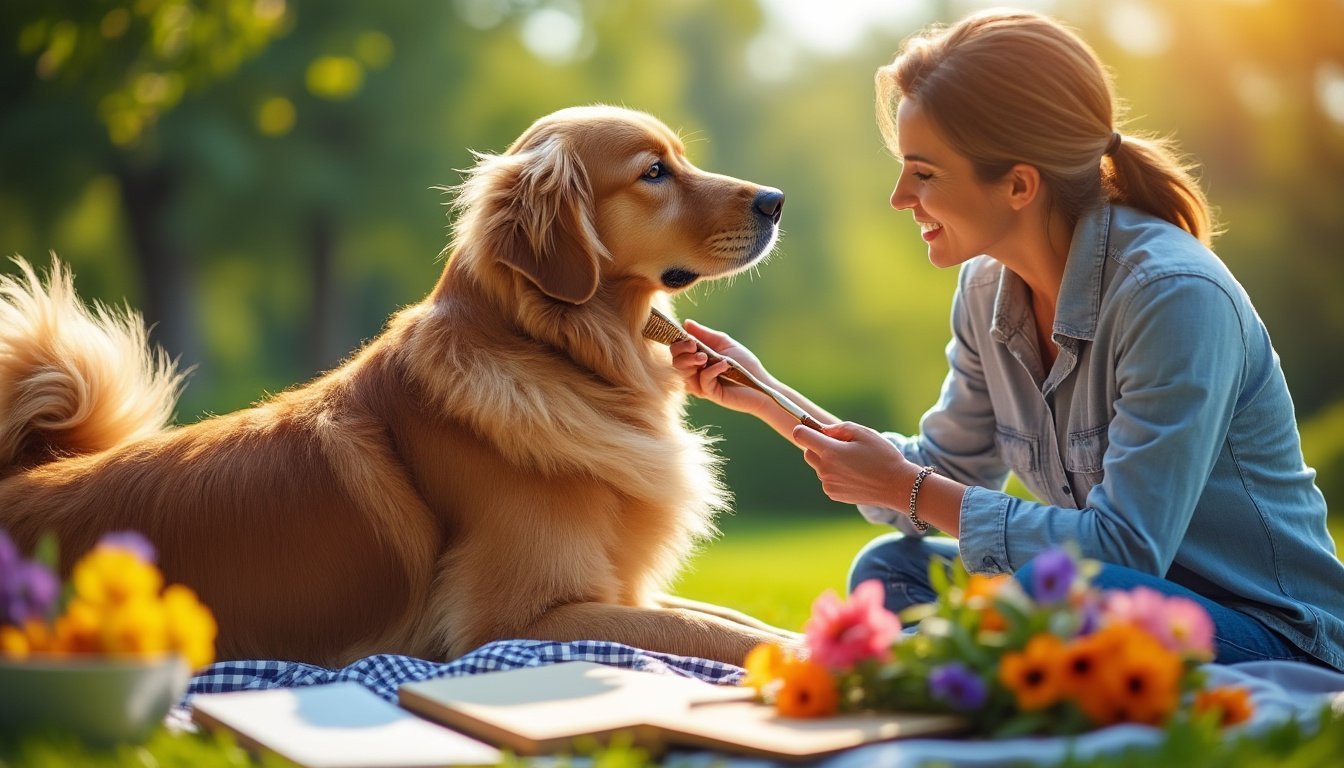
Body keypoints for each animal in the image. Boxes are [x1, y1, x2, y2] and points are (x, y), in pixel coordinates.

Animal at [0, 104, 795, 669]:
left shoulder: (617, 592)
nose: (777, 200)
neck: (560, 358)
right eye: (653, 172)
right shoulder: (512, 625)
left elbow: (731, 619)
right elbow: (707, 632)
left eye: (680, 159)